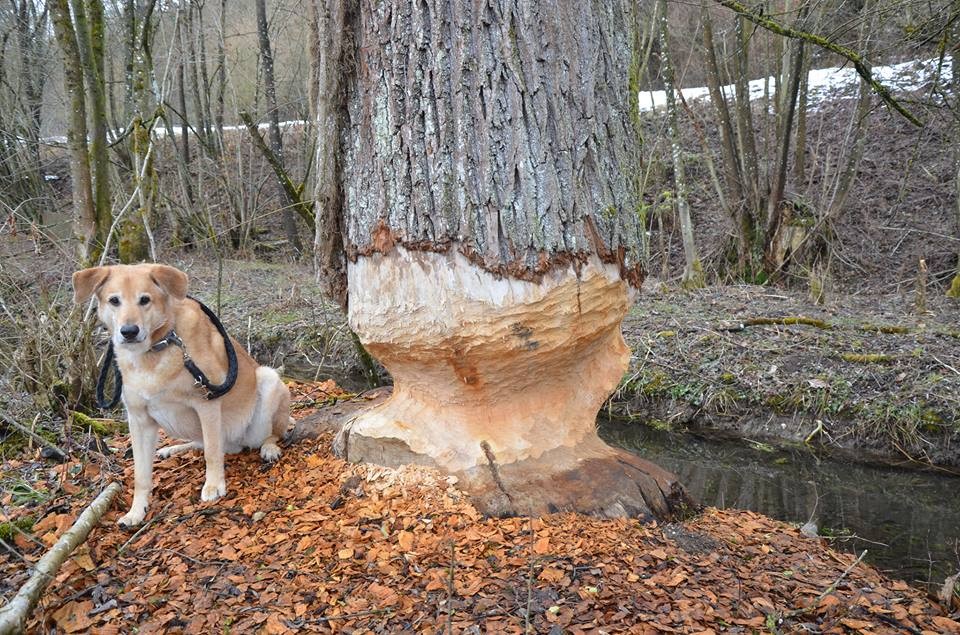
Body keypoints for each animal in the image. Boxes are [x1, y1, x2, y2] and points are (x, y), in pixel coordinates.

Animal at [72, 264, 292, 528]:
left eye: (144, 300)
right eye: (114, 300)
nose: (129, 331)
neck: (157, 347)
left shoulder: (206, 404)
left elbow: (211, 452)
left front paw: (214, 485)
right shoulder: (139, 421)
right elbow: (141, 475)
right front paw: (136, 511)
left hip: (268, 379)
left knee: (268, 434)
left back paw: (269, 447)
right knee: (201, 442)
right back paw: (172, 449)